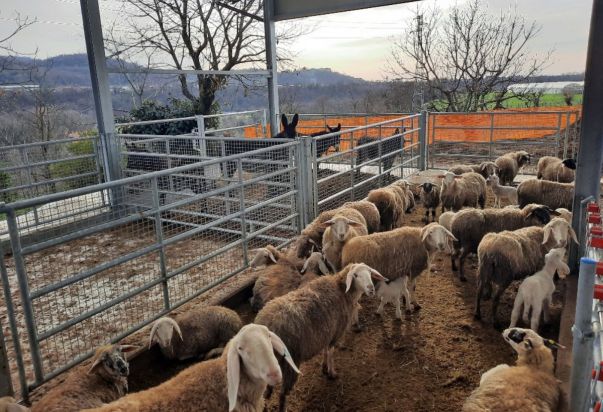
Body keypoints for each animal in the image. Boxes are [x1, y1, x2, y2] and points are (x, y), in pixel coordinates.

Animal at [255, 264, 386, 412]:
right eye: (355, 275)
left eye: (370, 272)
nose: (371, 289)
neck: (342, 291)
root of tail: (265, 323)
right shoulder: (335, 333)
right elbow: (331, 353)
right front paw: (331, 373)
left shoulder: (326, 332)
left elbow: (325, 351)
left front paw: (324, 367)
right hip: (290, 361)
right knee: (283, 394)